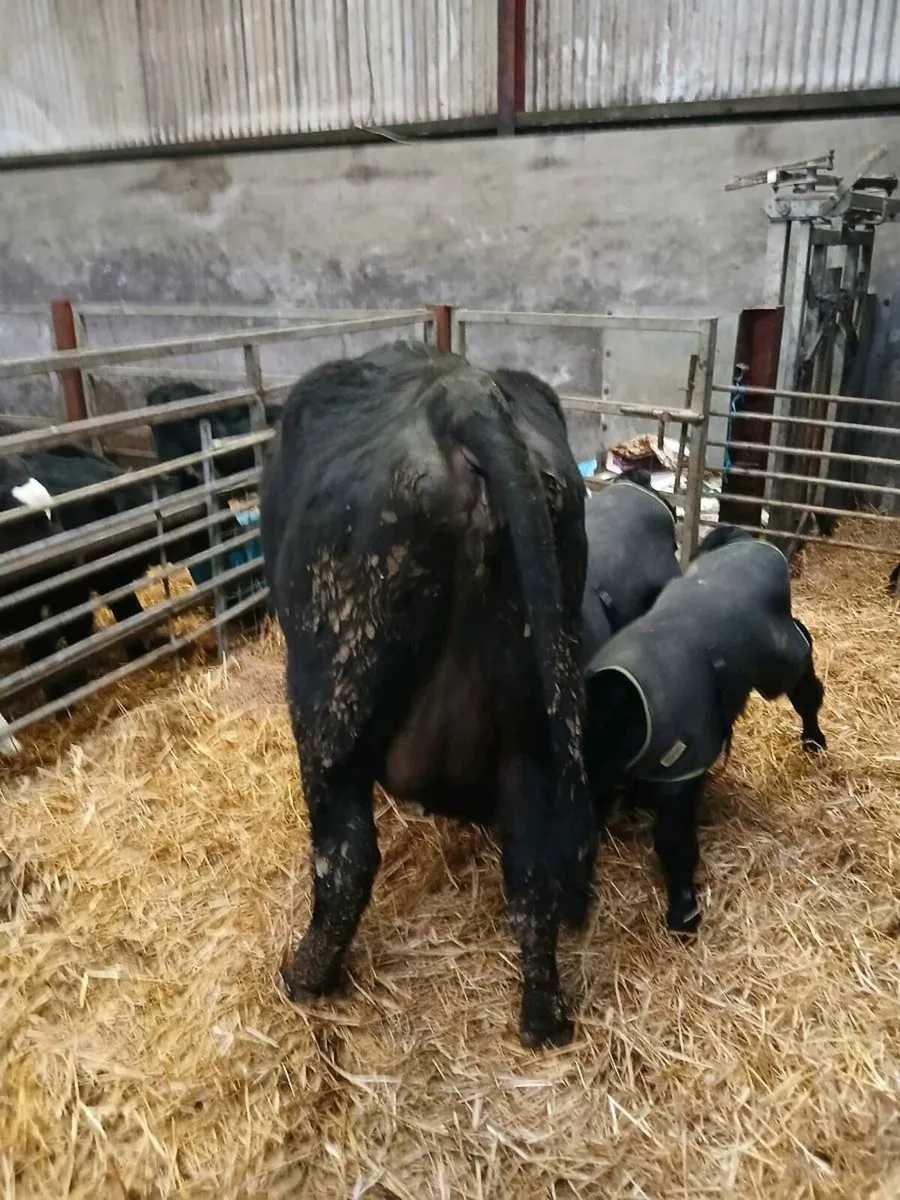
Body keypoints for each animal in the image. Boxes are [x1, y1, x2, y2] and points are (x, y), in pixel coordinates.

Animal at [260, 340, 596, 1048]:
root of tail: (461, 396)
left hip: (331, 694)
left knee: (346, 857)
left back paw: (303, 978)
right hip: (533, 713)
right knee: (533, 867)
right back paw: (544, 1021)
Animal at [582, 523, 827, 936]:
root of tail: (743, 540)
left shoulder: (681, 770)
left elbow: (674, 842)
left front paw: (684, 913)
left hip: (780, 661)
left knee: (806, 676)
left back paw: (814, 740)